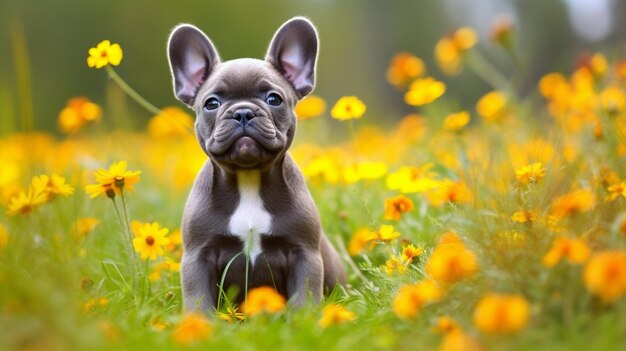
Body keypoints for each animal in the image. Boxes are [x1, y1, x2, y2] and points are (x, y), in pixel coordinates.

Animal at [167, 17, 346, 314]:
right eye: (211, 103)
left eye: (274, 99)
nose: (243, 111)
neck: (248, 177)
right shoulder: (198, 256)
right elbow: (199, 298)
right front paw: (200, 322)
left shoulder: (304, 253)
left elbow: (304, 294)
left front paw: (304, 320)